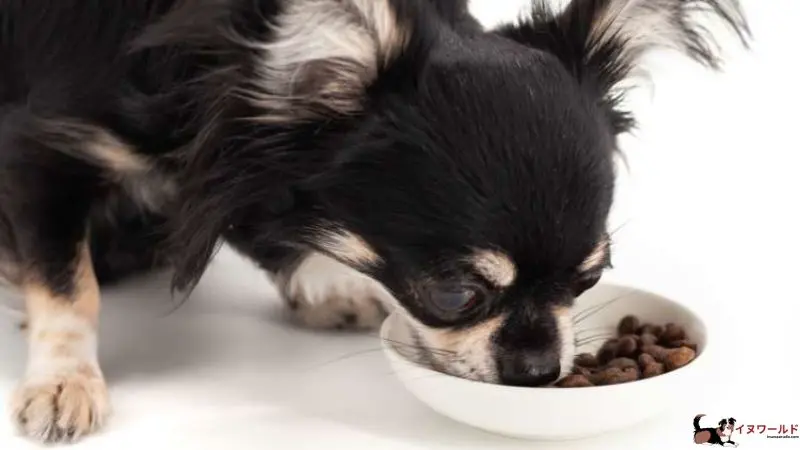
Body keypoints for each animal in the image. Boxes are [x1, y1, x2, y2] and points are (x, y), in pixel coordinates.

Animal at [0, 0, 752, 442]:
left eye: (589, 281)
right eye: (453, 294)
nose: (541, 370)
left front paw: (320, 281)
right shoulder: (42, 148)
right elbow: (69, 287)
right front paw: (64, 379)